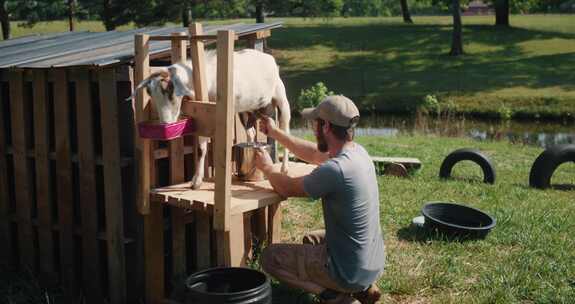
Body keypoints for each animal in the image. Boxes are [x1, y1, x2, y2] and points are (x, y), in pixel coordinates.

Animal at [132, 49, 290, 189]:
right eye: (150, 94)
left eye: (170, 91)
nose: (166, 123)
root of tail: (269, 58)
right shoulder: (203, 117)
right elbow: (201, 148)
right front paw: (196, 181)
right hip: (246, 110)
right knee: (251, 132)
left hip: (281, 99)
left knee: (285, 130)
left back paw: (284, 168)